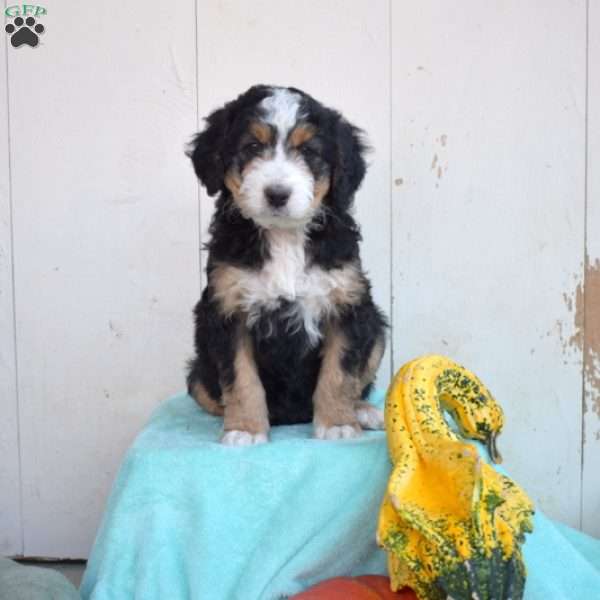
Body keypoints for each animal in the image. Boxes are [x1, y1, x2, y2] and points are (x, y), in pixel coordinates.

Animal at [185, 84, 386, 446]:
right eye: (252, 146)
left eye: (308, 151)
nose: (277, 194)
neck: (284, 236)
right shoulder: (227, 309)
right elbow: (241, 378)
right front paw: (245, 429)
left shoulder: (347, 305)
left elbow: (340, 372)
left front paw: (337, 424)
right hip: (197, 371)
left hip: (378, 328)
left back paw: (364, 412)